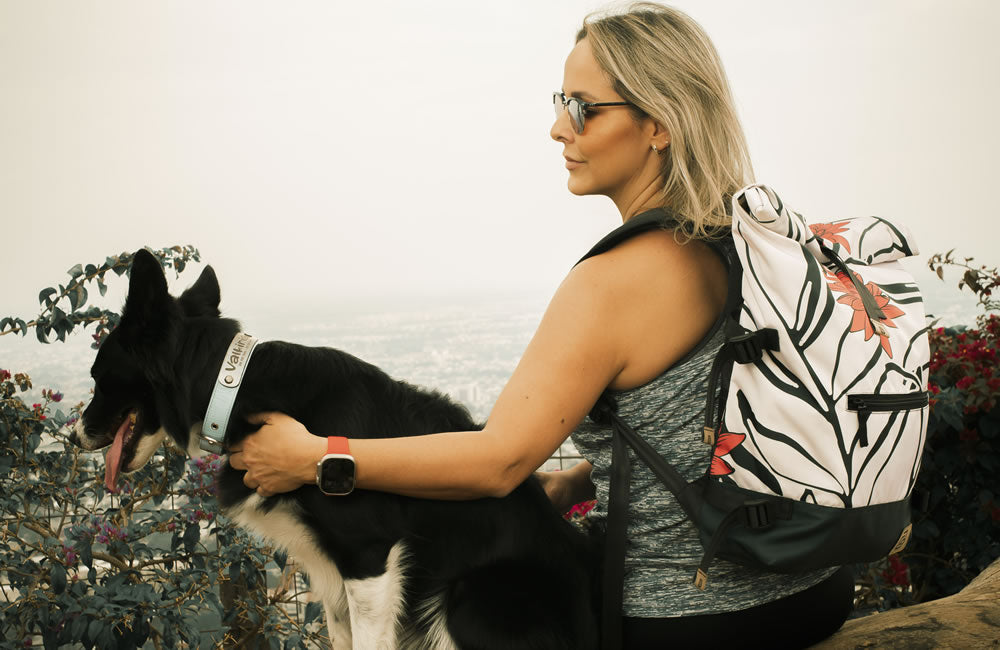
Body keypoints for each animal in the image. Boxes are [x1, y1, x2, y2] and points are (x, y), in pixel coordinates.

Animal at [70, 250, 599, 649]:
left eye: (98, 376)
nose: (75, 435)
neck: (238, 388)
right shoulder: (330, 577)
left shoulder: (368, 558)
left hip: (465, 597)